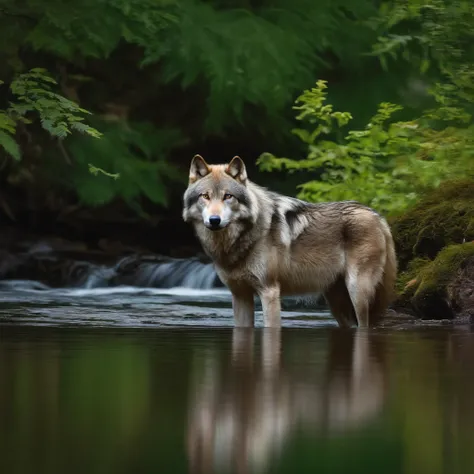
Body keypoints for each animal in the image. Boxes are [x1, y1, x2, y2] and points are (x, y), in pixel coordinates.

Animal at [181, 154, 396, 328]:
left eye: (228, 196)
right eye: (205, 196)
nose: (214, 220)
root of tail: (377, 216)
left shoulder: (269, 292)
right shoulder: (240, 295)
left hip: (357, 292)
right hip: (336, 302)